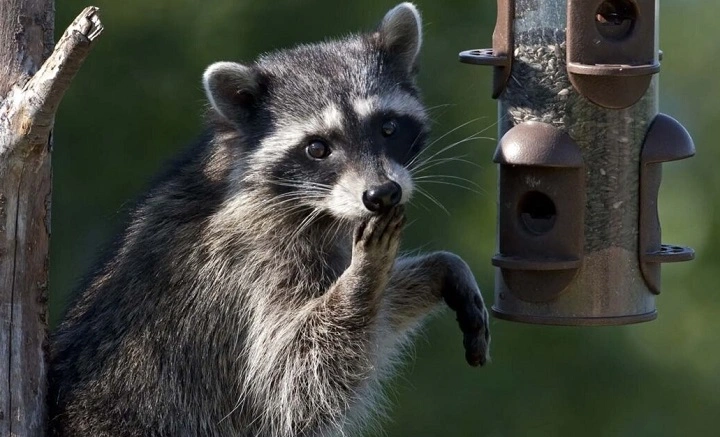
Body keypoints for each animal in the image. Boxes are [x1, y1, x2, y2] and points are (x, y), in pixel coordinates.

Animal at [48, 3, 490, 436]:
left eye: (388, 127)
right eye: (317, 148)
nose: (382, 193)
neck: (319, 208)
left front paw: (439, 267)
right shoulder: (248, 260)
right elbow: (293, 375)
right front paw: (365, 275)